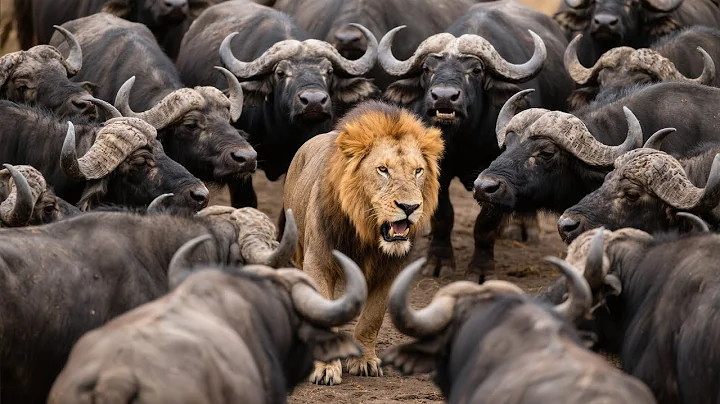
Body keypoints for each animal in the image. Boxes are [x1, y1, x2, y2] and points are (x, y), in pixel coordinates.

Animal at [283, 100, 444, 385]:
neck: (367, 235)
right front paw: (326, 368)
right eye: (383, 169)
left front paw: (364, 361)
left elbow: (372, 318)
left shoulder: (391, 271)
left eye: (418, 171)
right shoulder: (318, 264)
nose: (409, 207)